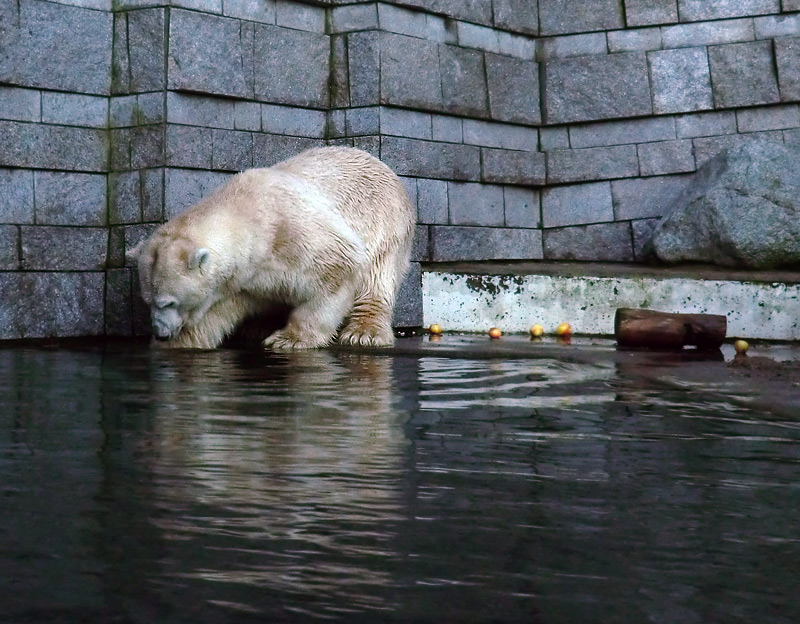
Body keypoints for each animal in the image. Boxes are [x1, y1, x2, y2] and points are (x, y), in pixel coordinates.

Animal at [128, 147, 416, 352]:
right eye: (147, 300)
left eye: (168, 302)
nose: (160, 333)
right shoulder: (239, 281)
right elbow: (213, 315)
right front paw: (179, 343)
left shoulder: (296, 234)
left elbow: (336, 272)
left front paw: (289, 339)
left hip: (384, 222)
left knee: (377, 277)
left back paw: (363, 332)